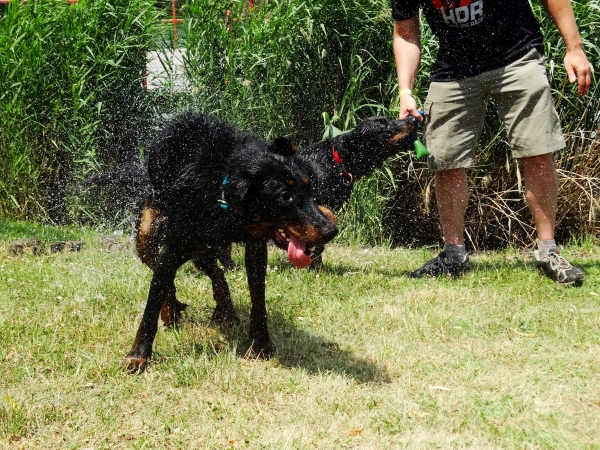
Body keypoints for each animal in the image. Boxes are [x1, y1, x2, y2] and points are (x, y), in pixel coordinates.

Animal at [123, 113, 338, 372]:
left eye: (309, 188)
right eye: (284, 196)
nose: (331, 230)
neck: (222, 190)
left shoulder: (255, 248)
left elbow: (258, 300)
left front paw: (261, 344)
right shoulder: (173, 247)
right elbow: (152, 302)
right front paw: (138, 355)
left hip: (203, 248)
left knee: (216, 273)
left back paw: (225, 311)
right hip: (148, 237)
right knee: (167, 276)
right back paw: (172, 310)